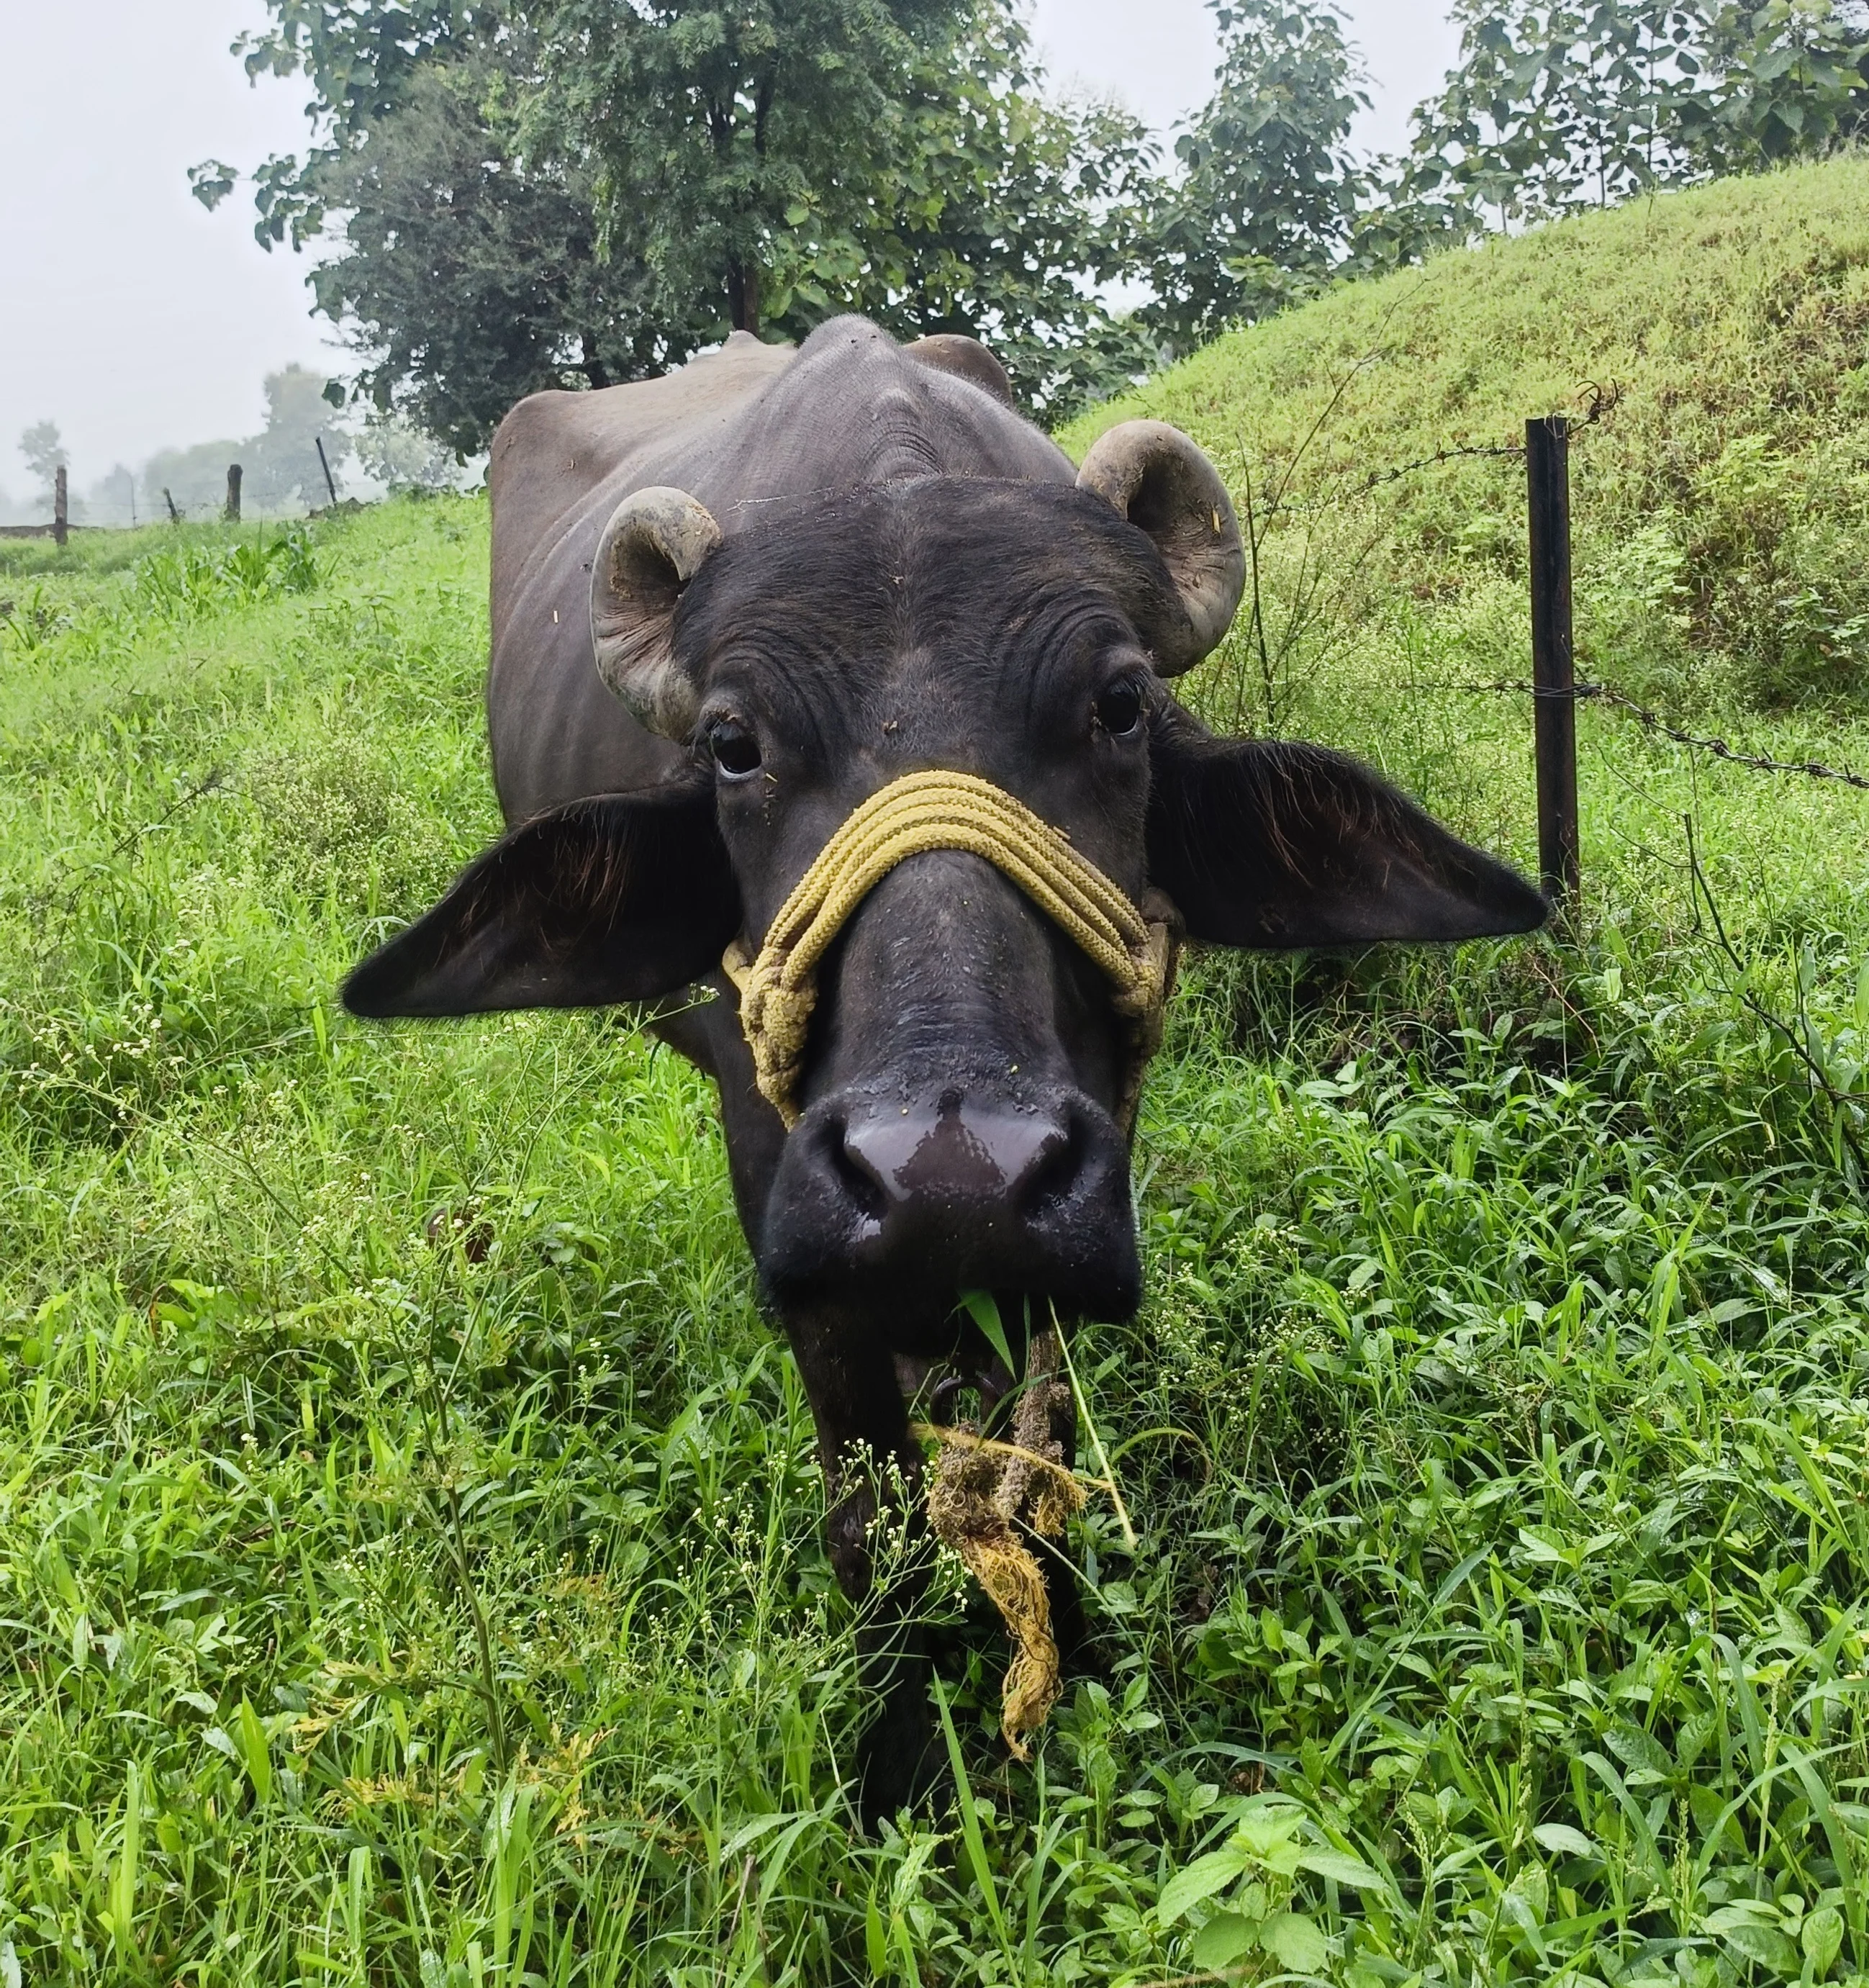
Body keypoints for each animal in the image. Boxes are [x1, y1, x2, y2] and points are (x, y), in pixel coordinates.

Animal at [345, 316, 1544, 1818]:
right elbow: (867, 1505)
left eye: (1118, 705)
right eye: (733, 743)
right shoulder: (785, 1184)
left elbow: (1043, 1439)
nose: (947, 1177)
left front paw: (1071, 1647)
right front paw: (894, 1753)